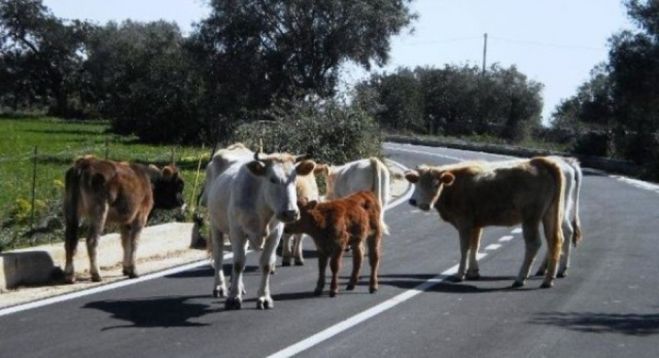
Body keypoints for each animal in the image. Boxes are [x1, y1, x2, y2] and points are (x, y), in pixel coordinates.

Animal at [63, 155, 184, 284]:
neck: (149, 181)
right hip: (99, 212)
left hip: (72, 213)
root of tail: (85, 163)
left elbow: (125, 242)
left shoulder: (125, 222)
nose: (182, 201)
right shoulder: (140, 217)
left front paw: (126, 269)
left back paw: (70, 275)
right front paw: (134, 271)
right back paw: (96, 274)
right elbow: (134, 242)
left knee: (70, 240)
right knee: (92, 240)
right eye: (178, 186)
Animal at [209, 150, 318, 310]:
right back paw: (219, 287)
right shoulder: (237, 231)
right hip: (215, 225)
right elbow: (238, 263)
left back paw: (239, 286)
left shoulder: (276, 233)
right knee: (218, 256)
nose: (291, 212)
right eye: (272, 179)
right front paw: (233, 298)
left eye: (294, 178)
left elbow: (266, 264)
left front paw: (264, 298)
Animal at [404, 158, 564, 290]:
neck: (455, 186)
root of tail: (539, 162)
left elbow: (465, 248)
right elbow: (475, 246)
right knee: (555, 240)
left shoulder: (464, 222)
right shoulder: (476, 224)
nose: (415, 202)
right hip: (549, 215)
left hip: (530, 218)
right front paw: (473, 272)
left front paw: (460, 274)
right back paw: (548, 279)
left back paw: (520, 279)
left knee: (533, 244)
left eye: (436, 184)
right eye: (416, 182)